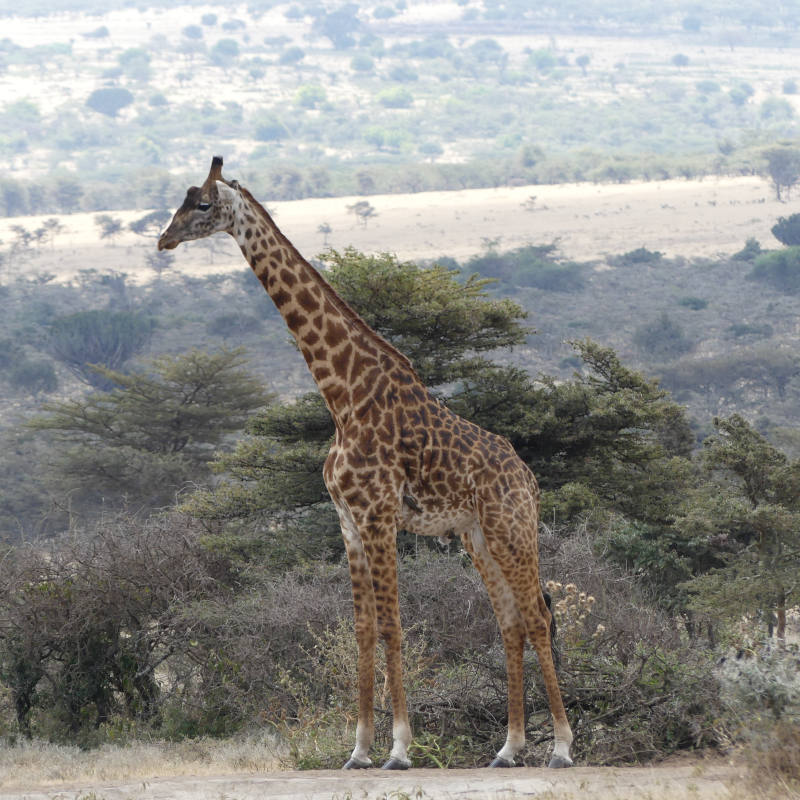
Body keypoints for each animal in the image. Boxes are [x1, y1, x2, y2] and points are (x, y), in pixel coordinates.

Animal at [159, 155, 572, 768]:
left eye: (204, 204)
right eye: (181, 201)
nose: (163, 239)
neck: (343, 396)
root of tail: (528, 477)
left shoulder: (379, 515)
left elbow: (393, 627)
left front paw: (400, 748)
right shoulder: (348, 522)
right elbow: (360, 629)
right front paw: (358, 750)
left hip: (511, 528)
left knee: (539, 617)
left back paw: (562, 747)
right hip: (477, 536)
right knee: (511, 622)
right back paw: (509, 747)